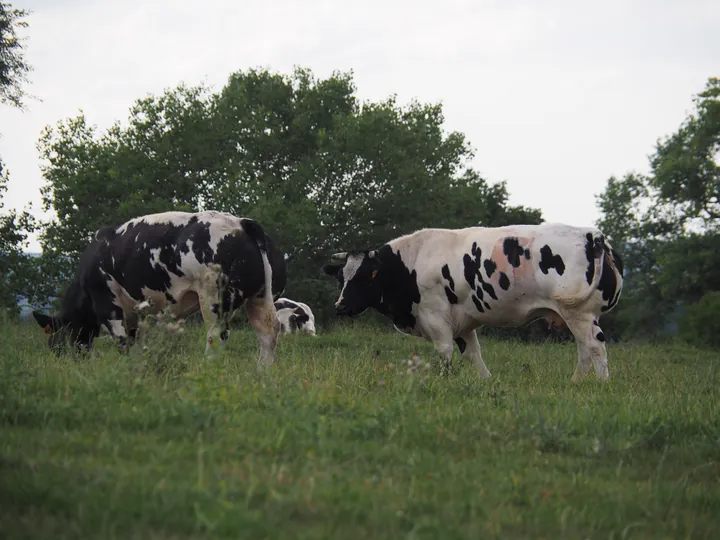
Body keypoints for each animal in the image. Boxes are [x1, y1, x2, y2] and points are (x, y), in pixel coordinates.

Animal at [33, 211, 286, 368]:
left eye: (55, 343)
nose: (65, 362)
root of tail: (240, 223)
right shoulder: (135, 313)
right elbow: (136, 344)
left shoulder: (108, 305)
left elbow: (122, 342)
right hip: (260, 297)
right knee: (268, 332)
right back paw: (262, 373)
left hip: (214, 299)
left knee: (216, 335)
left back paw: (207, 367)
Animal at [324, 221, 620, 382]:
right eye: (341, 277)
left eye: (366, 276)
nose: (340, 306)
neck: (411, 263)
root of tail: (592, 235)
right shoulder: (462, 321)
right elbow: (472, 354)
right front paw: (486, 381)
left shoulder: (435, 315)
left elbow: (445, 352)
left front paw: (442, 380)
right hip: (575, 314)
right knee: (584, 349)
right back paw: (576, 382)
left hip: (579, 312)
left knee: (594, 346)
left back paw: (602, 383)